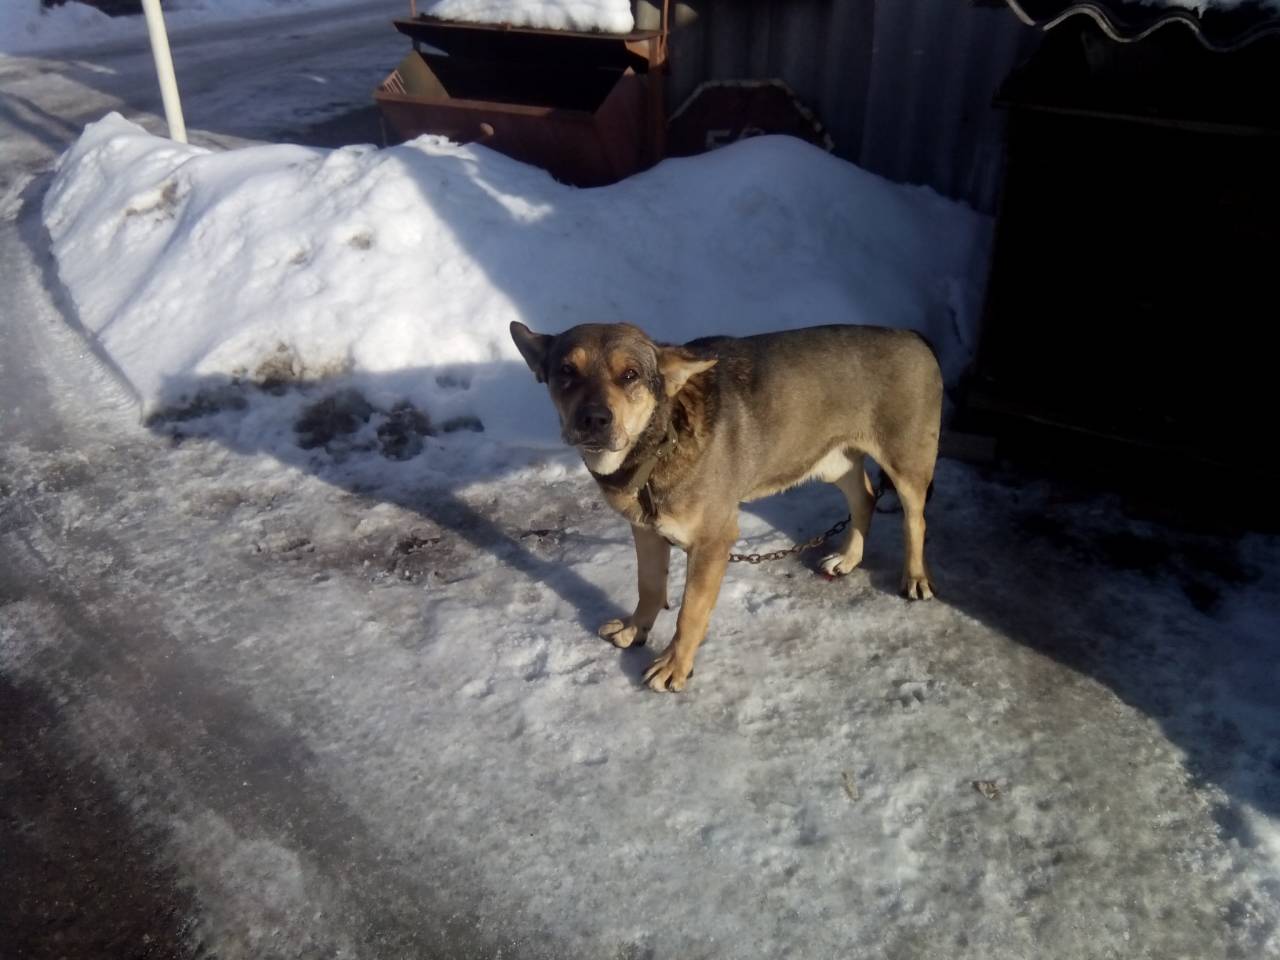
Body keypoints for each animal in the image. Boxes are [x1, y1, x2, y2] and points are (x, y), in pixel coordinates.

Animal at [506, 321, 942, 691]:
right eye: (566, 371)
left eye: (630, 375)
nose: (594, 419)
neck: (661, 441)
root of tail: (913, 335)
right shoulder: (646, 531)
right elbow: (649, 586)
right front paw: (636, 628)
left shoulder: (712, 544)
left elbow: (690, 612)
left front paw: (675, 665)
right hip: (832, 461)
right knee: (865, 497)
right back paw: (849, 558)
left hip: (906, 463)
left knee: (916, 519)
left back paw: (915, 576)